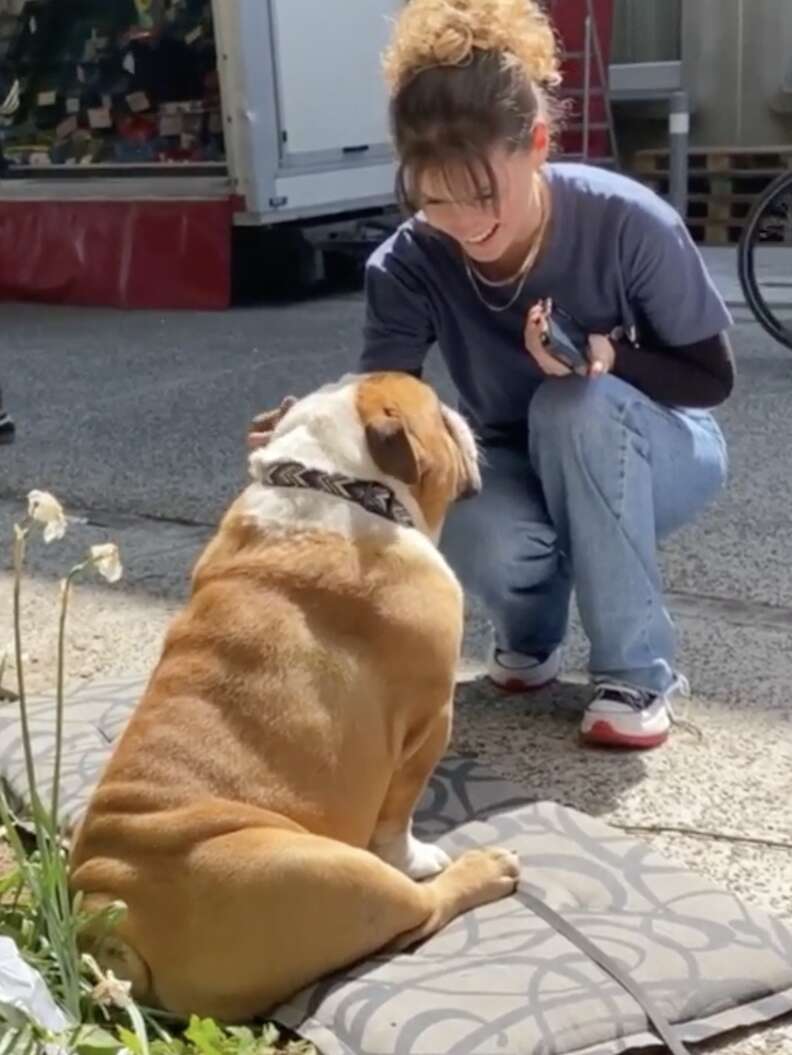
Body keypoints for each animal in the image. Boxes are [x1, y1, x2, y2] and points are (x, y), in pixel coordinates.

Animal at [69, 373, 520, 1021]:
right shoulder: (430, 721)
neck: (338, 479)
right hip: (334, 872)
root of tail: (110, 913)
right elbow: (398, 817)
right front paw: (418, 853)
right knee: (417, 914)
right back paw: (481, 870)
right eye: (438, 412)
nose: (462, 416)